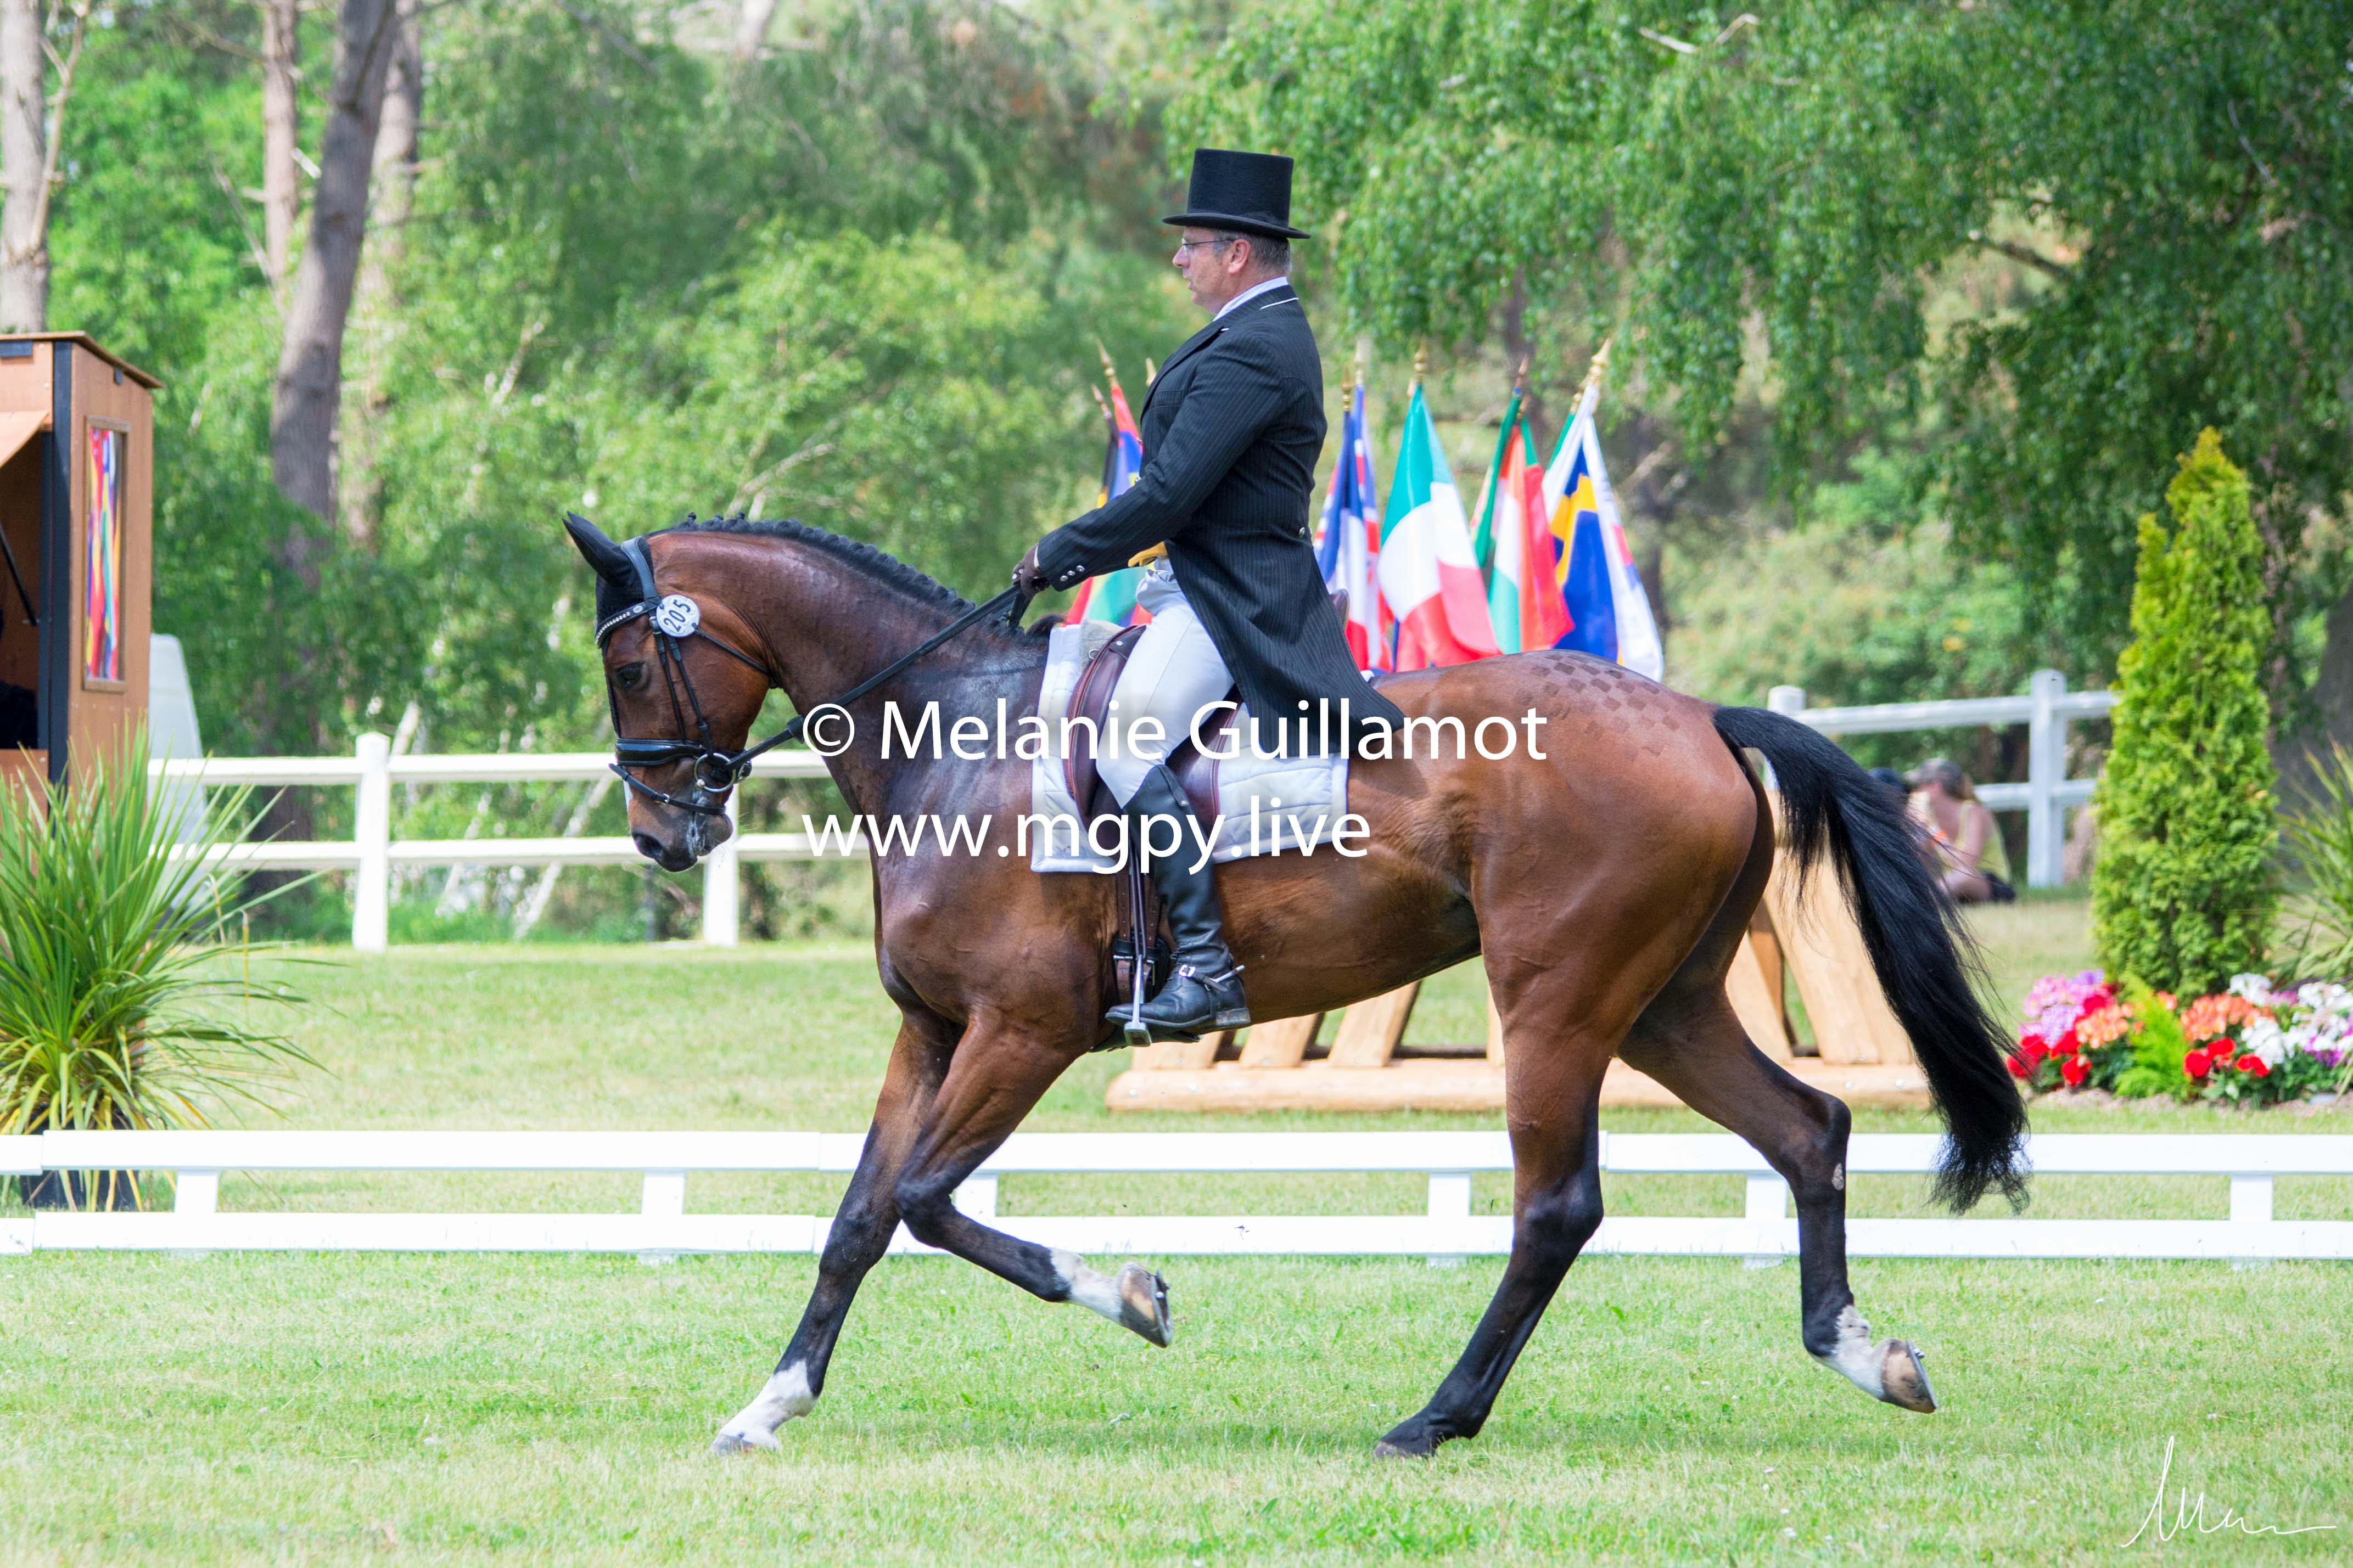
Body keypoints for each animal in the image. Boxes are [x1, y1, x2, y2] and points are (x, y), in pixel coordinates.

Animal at [560, 513, 2027, 1458]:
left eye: (629, 664)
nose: (659, 837)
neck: (950, 739)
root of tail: (1702, 718)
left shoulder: (1022, 1032)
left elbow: (925, 1200)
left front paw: (1131, 1296)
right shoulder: (931, 1032)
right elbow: (858, 1220)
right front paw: (770, 1404)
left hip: (1555, 1005)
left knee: (1558, 1207)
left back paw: (1435, 1419)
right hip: (1662, 1005)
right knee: (1808, 1129)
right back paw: (1865, 1354)